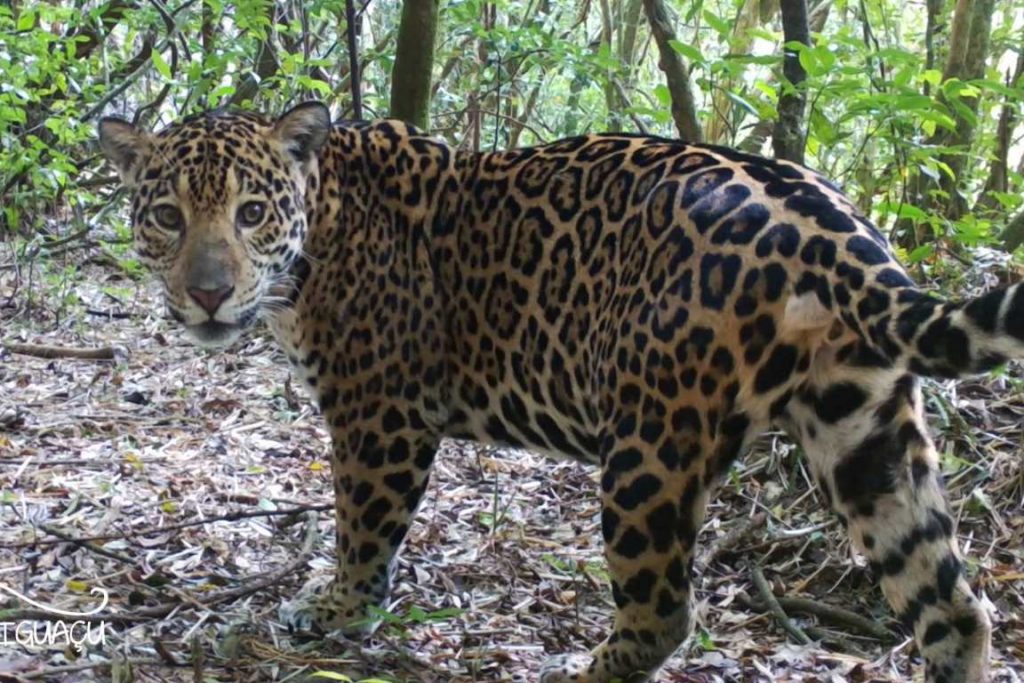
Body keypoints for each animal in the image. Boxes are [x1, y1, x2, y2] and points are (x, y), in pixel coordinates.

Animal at [97, 101, 1014, 682]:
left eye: (251, 212)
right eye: (169, 216)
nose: (208, 294)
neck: (318, 230)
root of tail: (839, 226)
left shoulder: (379, 411)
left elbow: (363, 525)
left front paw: (339, 610)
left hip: (649, 439)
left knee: (662, 613)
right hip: (862, 431)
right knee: (954, 608)